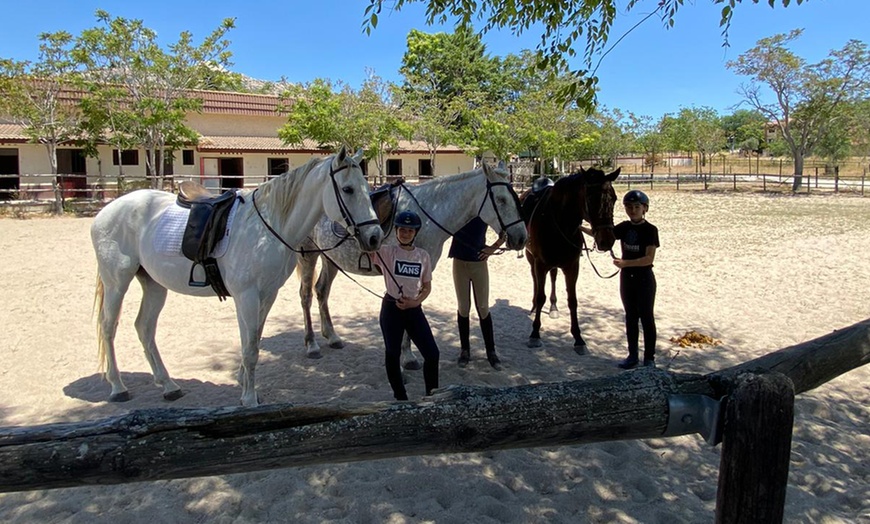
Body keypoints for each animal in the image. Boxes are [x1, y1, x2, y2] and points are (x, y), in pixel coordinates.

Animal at [91, 149, 384, 408]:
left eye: (366, 187)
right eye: (348, 189)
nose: (375, 237)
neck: (269, 226)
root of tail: (107, 211)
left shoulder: (266, 294)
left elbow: (253, 341)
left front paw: (244, 384)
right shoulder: (247, 296)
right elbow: (251, 347)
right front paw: (249, 398)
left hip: (153, 284)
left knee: (144, 328)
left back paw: (168, 386)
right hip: (117, 283)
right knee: (108, 327)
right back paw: (118, 387)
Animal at [300, 164, 528, 368]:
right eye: (501, 199)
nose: (521, 238)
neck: (425, 216)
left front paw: (408, 355)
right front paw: (408, 358)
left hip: (330, 259)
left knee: (322, 290)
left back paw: (332, 336)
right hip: (308, 256)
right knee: (306, 295)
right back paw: (311, 345)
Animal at [516, 167, 620, 356]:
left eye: (614, 198)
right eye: (590, 199)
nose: (606, 241)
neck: (559, 222)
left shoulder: (572, 267)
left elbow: (573, 301)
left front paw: (579, 339)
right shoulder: (540, 264)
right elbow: (541, 296)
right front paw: (535, 334)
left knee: (553, 277)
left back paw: (554, 308)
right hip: (531, 257)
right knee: (535, 280)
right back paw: (534, 308)